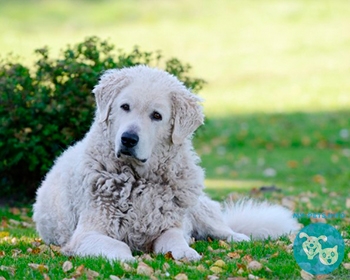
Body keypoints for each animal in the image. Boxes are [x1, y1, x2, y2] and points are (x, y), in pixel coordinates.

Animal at [32, 64, 298, 262]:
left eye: (156, 116)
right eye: (125, 106)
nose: (128, 139)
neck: (139, 180)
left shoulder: (169, 226)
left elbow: (175, 240)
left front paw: (185, 252)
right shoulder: (87, 234)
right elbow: (119, 247)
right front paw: (127, 259)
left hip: (197, 208)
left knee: (222, 228)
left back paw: (237, 237)